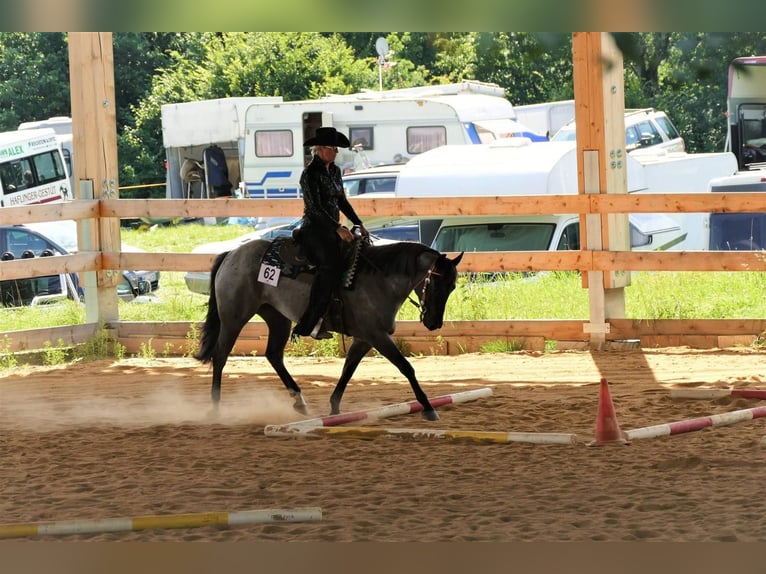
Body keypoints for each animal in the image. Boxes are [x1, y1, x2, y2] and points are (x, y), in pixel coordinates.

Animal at [195, 234, 464, 424]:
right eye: (434, 283)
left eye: (452, 287)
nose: (434, 323)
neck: (380, 279)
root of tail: (232, 254)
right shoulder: (377, 336)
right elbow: (406, 367)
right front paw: (428, 408)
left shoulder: (364, 339)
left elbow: (348, 370)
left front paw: (334, 407)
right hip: (234, 317)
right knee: (221, 355)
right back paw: (216, 407)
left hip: (277, 318)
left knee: (273, 355)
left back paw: (300, 401)